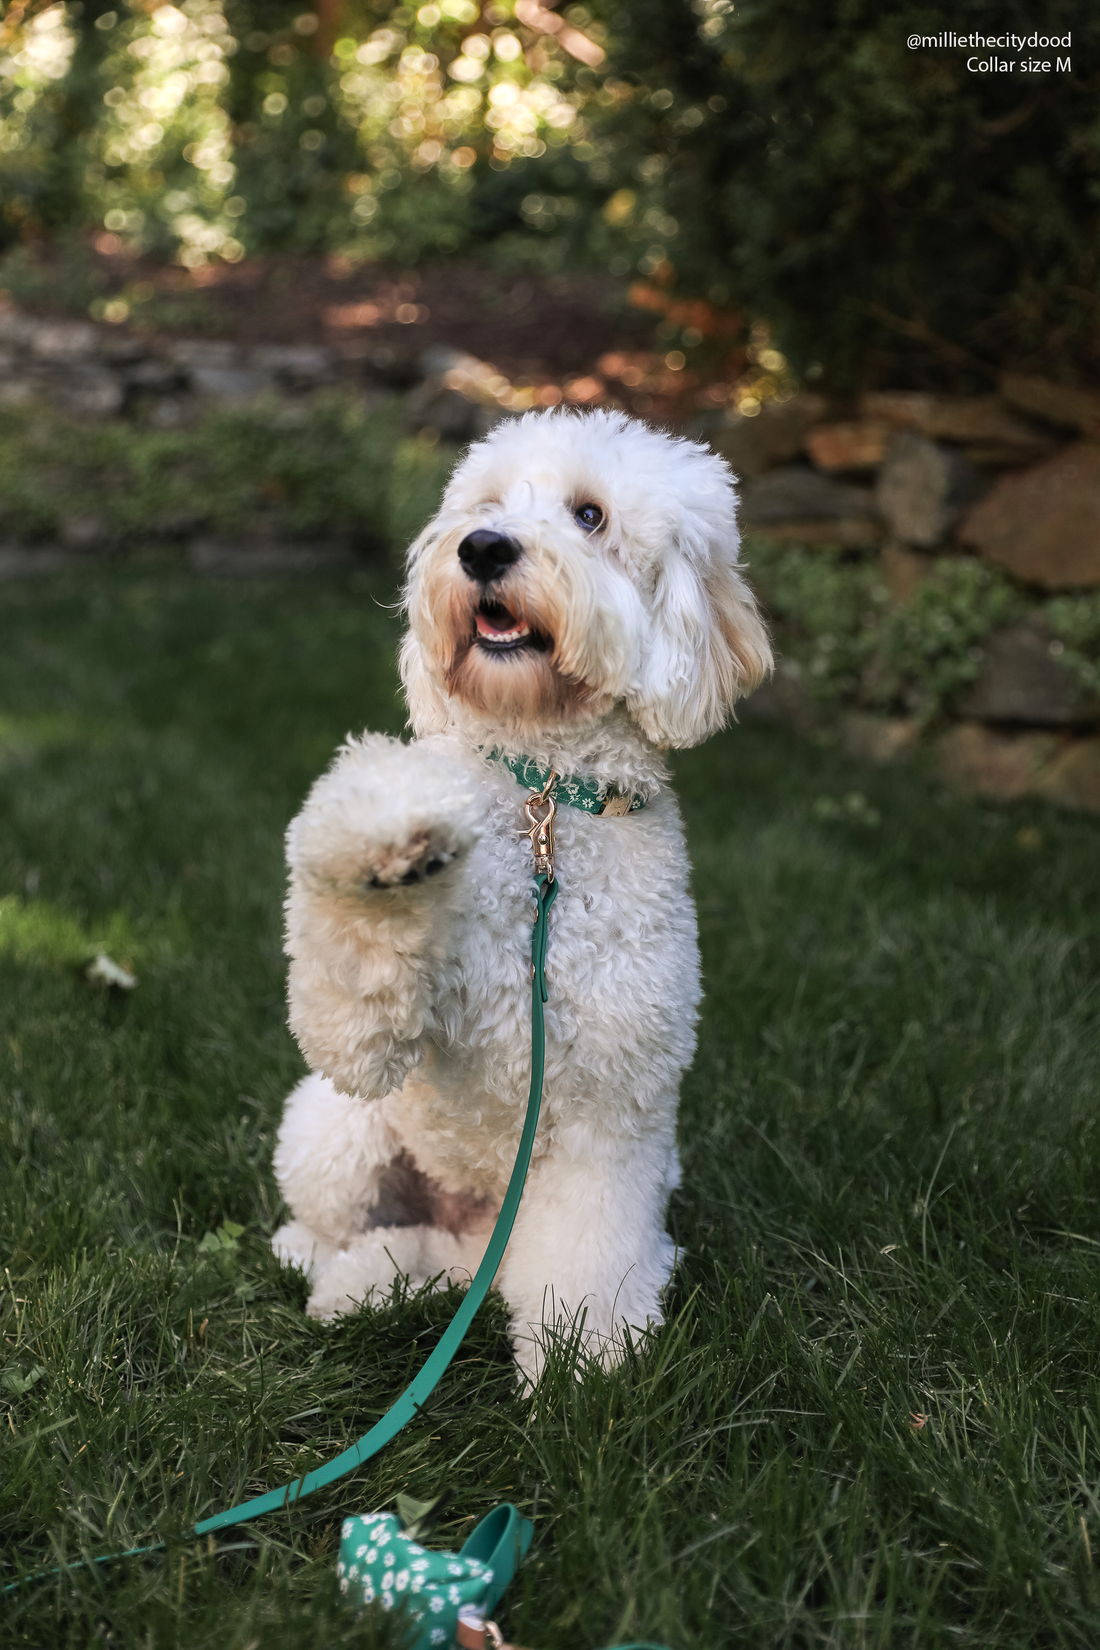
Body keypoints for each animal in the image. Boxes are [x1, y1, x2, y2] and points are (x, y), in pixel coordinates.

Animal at [273, 405, 775, 1372]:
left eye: (589, 515)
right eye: (488, 503)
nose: (483, 548)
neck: (546, 798)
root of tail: (473, 1226)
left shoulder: (608, 1118)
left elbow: (586, 1262)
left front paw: (586, 1370)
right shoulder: (366, 1042)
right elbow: (354, 1002)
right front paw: (389, 843)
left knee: (439, 1259)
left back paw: (372, 1286)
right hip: (334, 1134)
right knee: (330, 1224)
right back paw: (326, 1272)